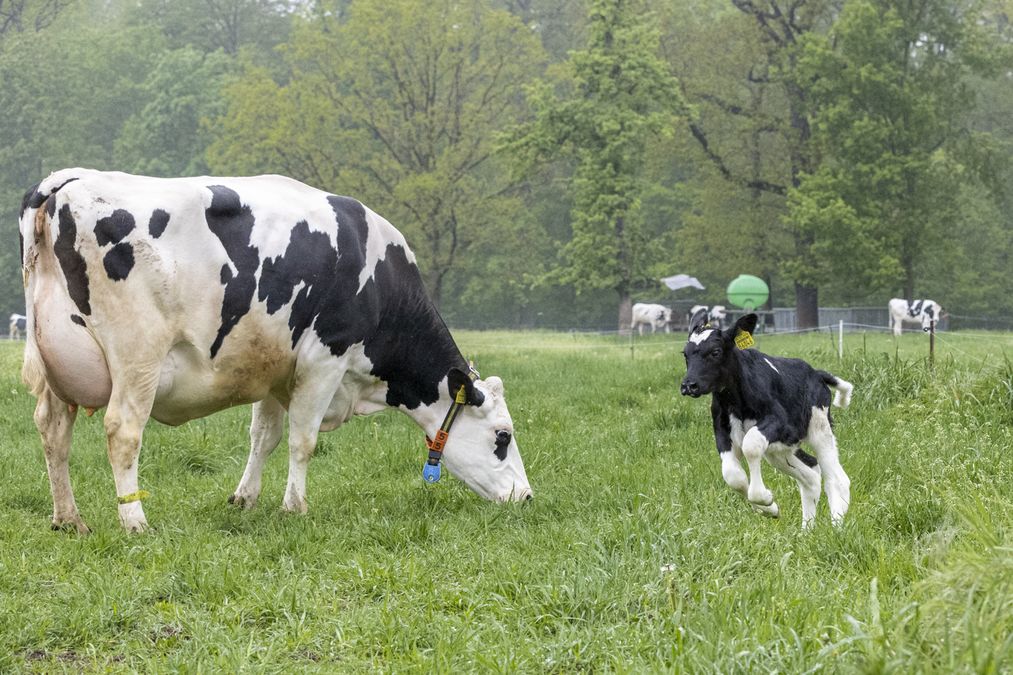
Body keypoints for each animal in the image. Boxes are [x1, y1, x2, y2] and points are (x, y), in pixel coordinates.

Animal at [19, 167, 534, 531]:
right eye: (502, 436)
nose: (526, 497)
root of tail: (63, 180)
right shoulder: (324, 359)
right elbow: (303, 440)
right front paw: (294, 507)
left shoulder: (273, 366)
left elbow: (262, 436)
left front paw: (244, 499)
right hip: (138, 356)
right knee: (123, 431)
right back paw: (134, 520)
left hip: (55, 364)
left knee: (52, 431)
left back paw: (68, 519)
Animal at [680, 312, 854, 527]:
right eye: (685, 354)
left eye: (715, 351)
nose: (689, 385)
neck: (736, 402)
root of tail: (816, 373)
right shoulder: (721, 430)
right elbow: (732, 475)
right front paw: (769, 508)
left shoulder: (779, 422)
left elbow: (751, 446)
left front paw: (763, 498)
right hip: (780, 450)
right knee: (811, 475)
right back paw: (807, 530)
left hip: (819, 428)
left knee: (837, 478)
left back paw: (836, 525)